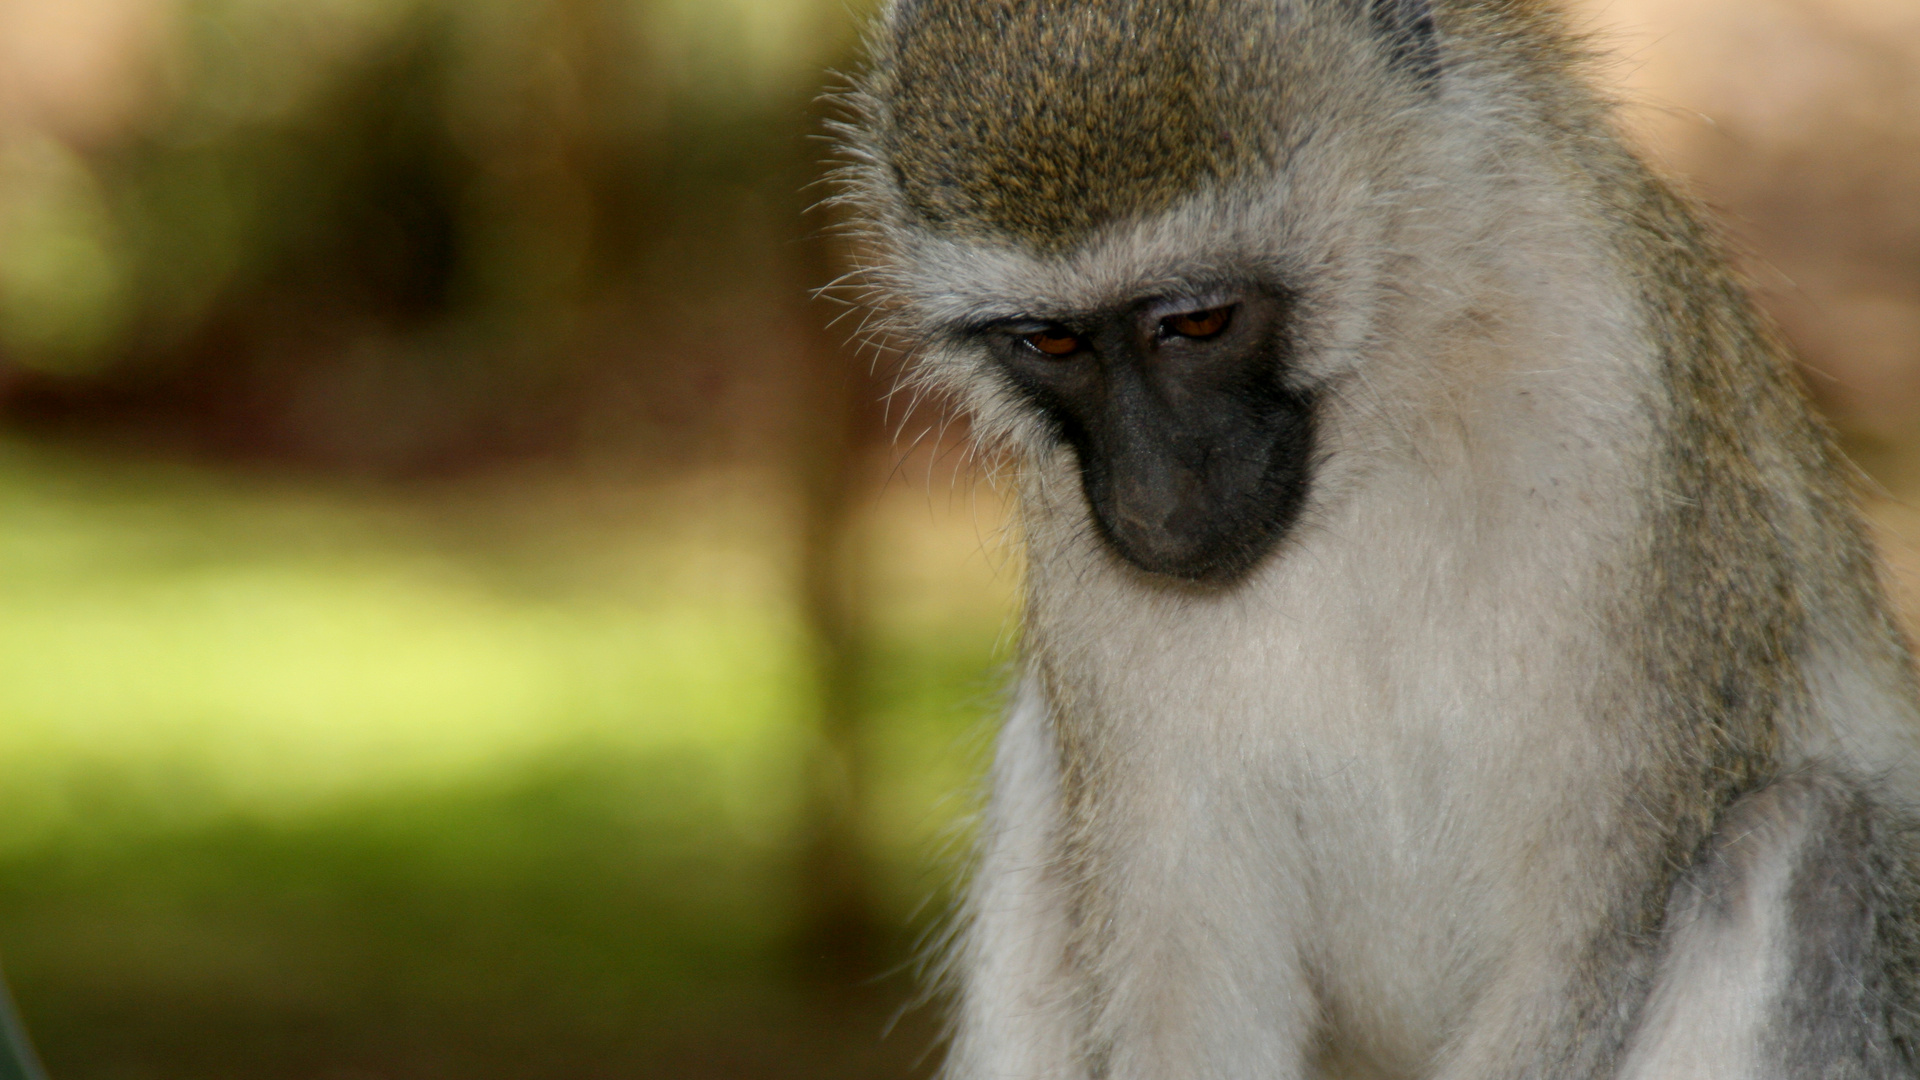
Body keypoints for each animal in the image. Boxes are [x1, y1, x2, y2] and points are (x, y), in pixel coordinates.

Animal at [844, 0, 1920, 1068]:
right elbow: (1183, 983)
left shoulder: (1620, 395)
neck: (1388, 399)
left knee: (1810, 849)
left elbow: (1586, 945)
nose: (1151, 502)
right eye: (1051, 342)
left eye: (1198, 323)